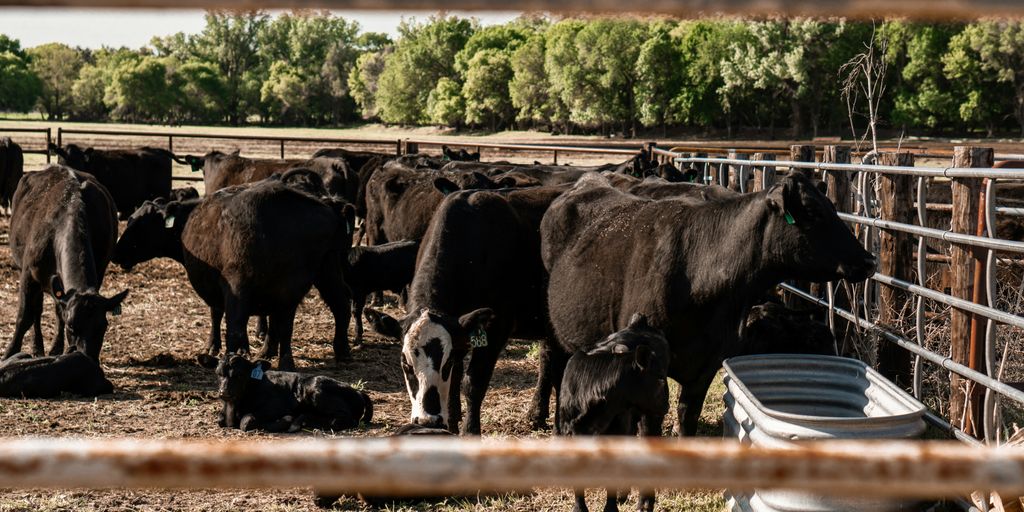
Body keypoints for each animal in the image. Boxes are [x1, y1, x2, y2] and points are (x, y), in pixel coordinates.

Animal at [5, 166, 128, 360]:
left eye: (103, 326)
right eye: (72, 326)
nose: (86, 357)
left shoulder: (99, 271)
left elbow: (59, 312)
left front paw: (57, 349)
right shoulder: (28, 274)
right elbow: (24, 316)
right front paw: (10, 353)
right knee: (36, 311)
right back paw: (37, 348)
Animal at [217, 354, 376, 434]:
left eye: (239, 375)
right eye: (219, 374)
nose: (224, 392)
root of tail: (358, 391)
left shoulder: (275, 407)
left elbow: (246, 422)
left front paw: (285, 421)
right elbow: (220, 420)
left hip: (316, 388)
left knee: (342, 420)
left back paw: (295, 423)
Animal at [364, 184, 569, 432]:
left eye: (446, 362)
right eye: (405, 363)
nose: (427, 420)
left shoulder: (496, 328)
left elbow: (472, 383)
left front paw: (470, 430)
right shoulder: (460, 333)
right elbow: (454, 384)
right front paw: (451, 425)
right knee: (548, 359)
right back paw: (536, 415)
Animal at [540, 172, 876, 436]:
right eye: (813, 211)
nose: (869, 260)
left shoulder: (708, 363)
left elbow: (688, 417)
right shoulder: (648, 374)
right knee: (553, 364)